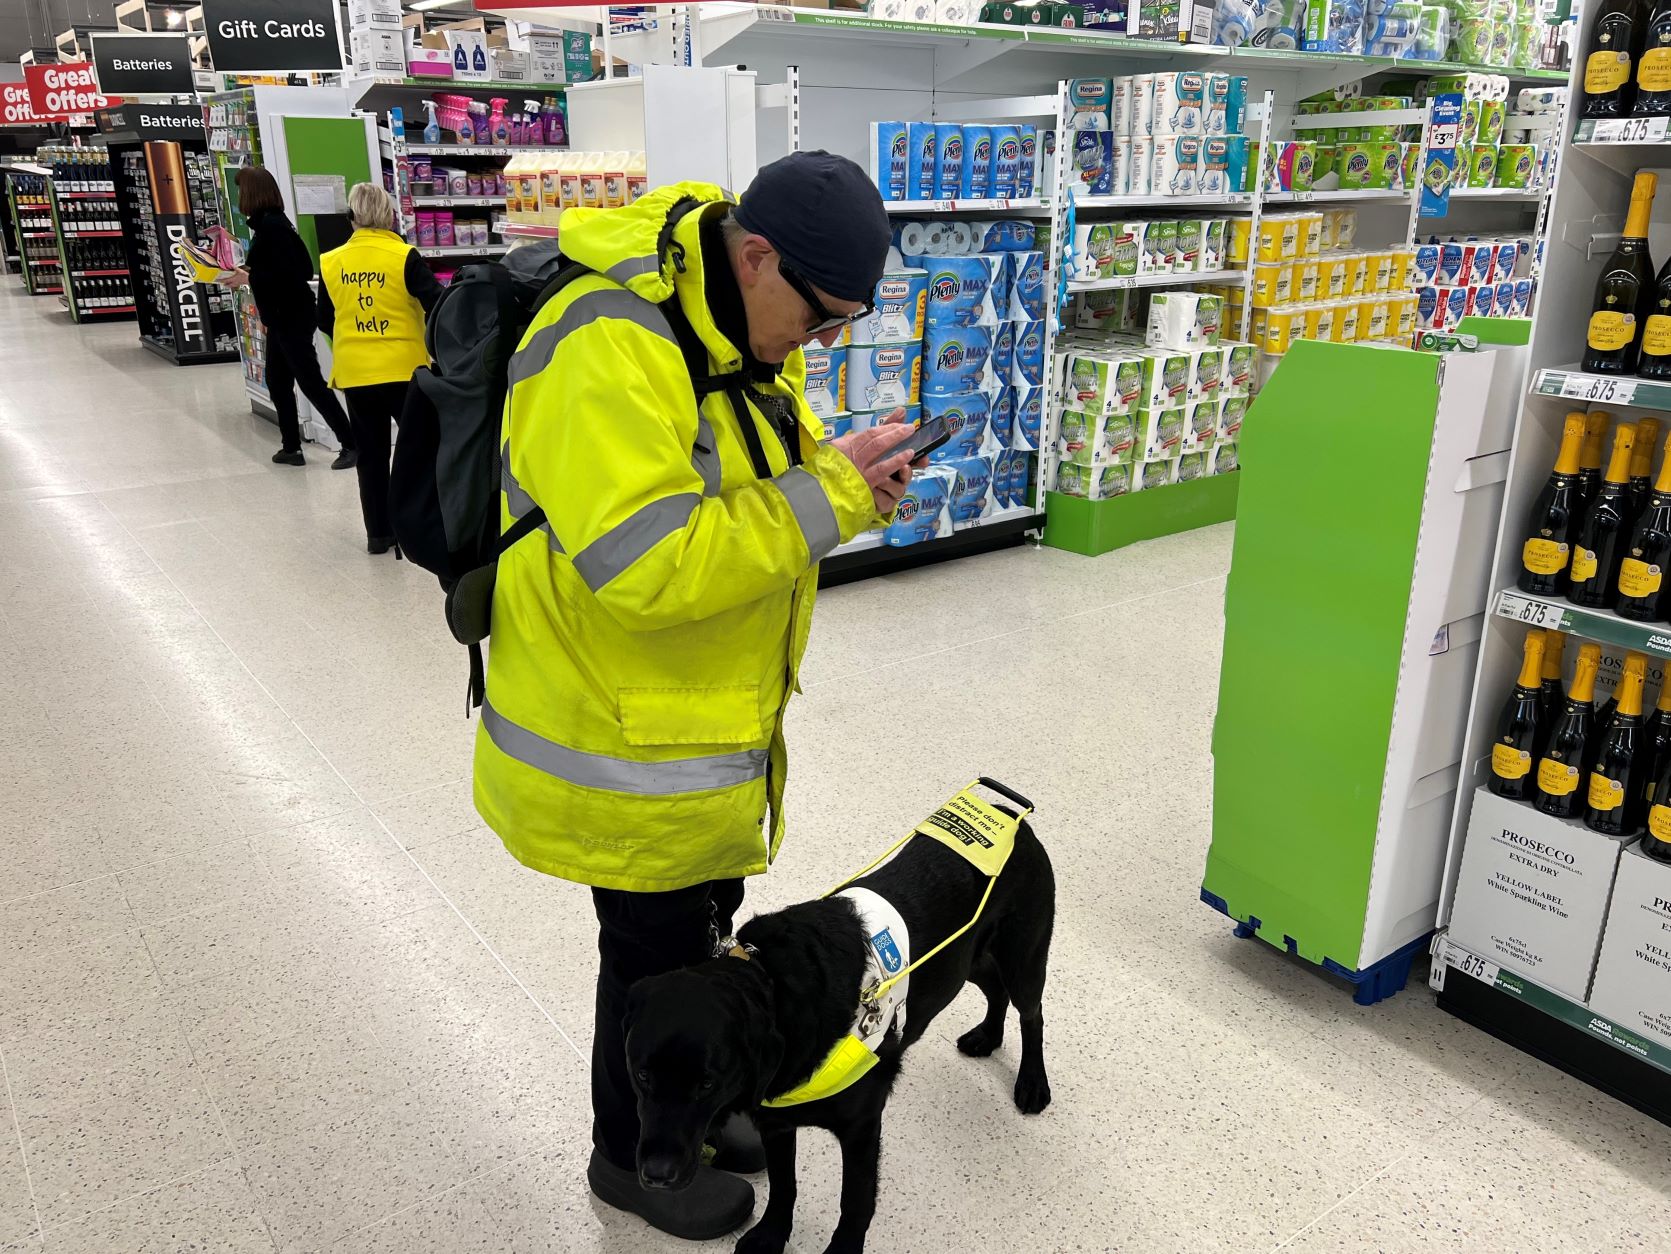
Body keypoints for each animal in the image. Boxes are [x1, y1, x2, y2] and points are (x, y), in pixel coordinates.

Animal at [621, 785, 1049, 1254]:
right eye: (641, 1076)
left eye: (707, 1084)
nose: (656, 1178)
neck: (773, 984)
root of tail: (1007, 813)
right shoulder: (775, 1121)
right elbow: (784, 1185)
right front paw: (771, 1235)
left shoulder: (861, 1126)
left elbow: (856, 1202)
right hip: (968, 961)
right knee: (996, 990)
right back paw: (986, 1036)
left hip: (1023, 956)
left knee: (1032, 1014)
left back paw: (1032, 1083)